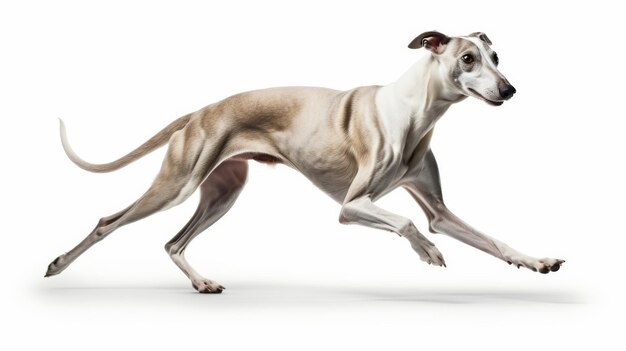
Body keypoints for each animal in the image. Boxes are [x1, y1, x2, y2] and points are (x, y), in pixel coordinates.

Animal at [46, 31, 564, 294]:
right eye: (469, 58)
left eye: (496, 56)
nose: (509, 89)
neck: (416, 112)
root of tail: (200, 112)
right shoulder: (353, 205)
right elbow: (405, 222)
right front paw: (428, 252)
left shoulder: (440, 212)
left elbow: (490, 240)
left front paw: (536, 260)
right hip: (176, 185)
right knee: (108, 221)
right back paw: (57, 265)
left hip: (222, 193)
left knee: (174, 243)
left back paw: (201, 283)